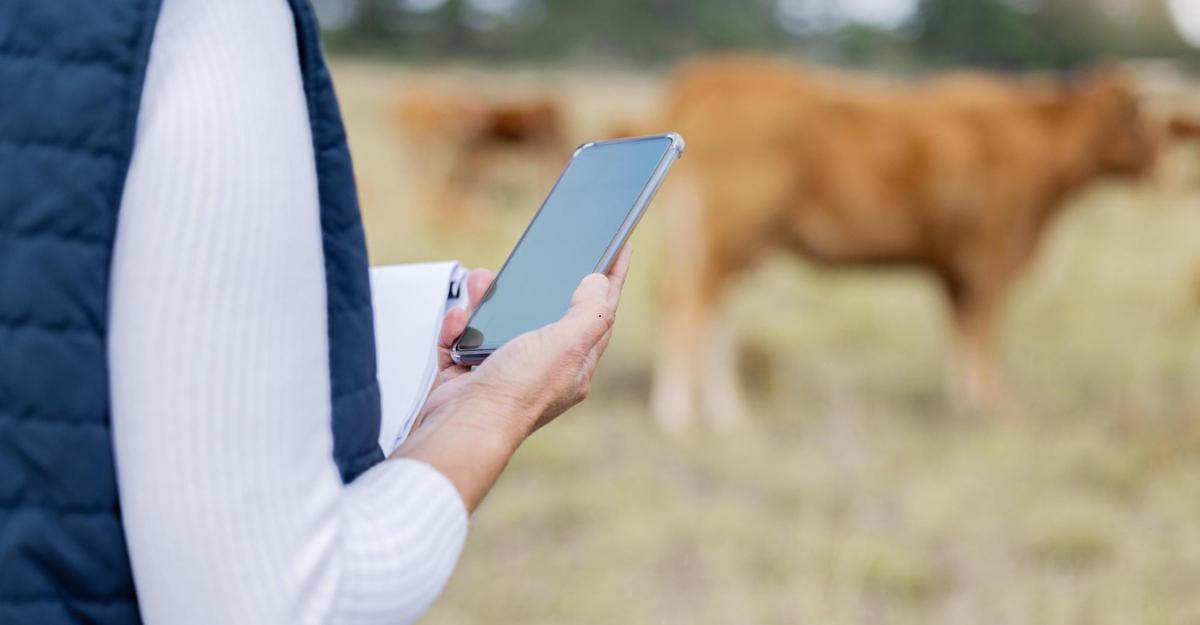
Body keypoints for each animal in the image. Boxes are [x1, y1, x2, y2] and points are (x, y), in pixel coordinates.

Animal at [652, 56, 1166, 431]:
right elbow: (985, 335)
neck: (1037, 144)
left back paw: (725, 411)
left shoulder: (955, 271)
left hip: (721, 244)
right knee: (687, 310)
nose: (1158, 162)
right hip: (726, 236)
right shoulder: (990, 262)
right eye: (1138, 118)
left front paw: (964, 400)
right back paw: (680, 412)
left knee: (711, 315)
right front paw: (992, 405)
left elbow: (962, 333)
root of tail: (711, 75)